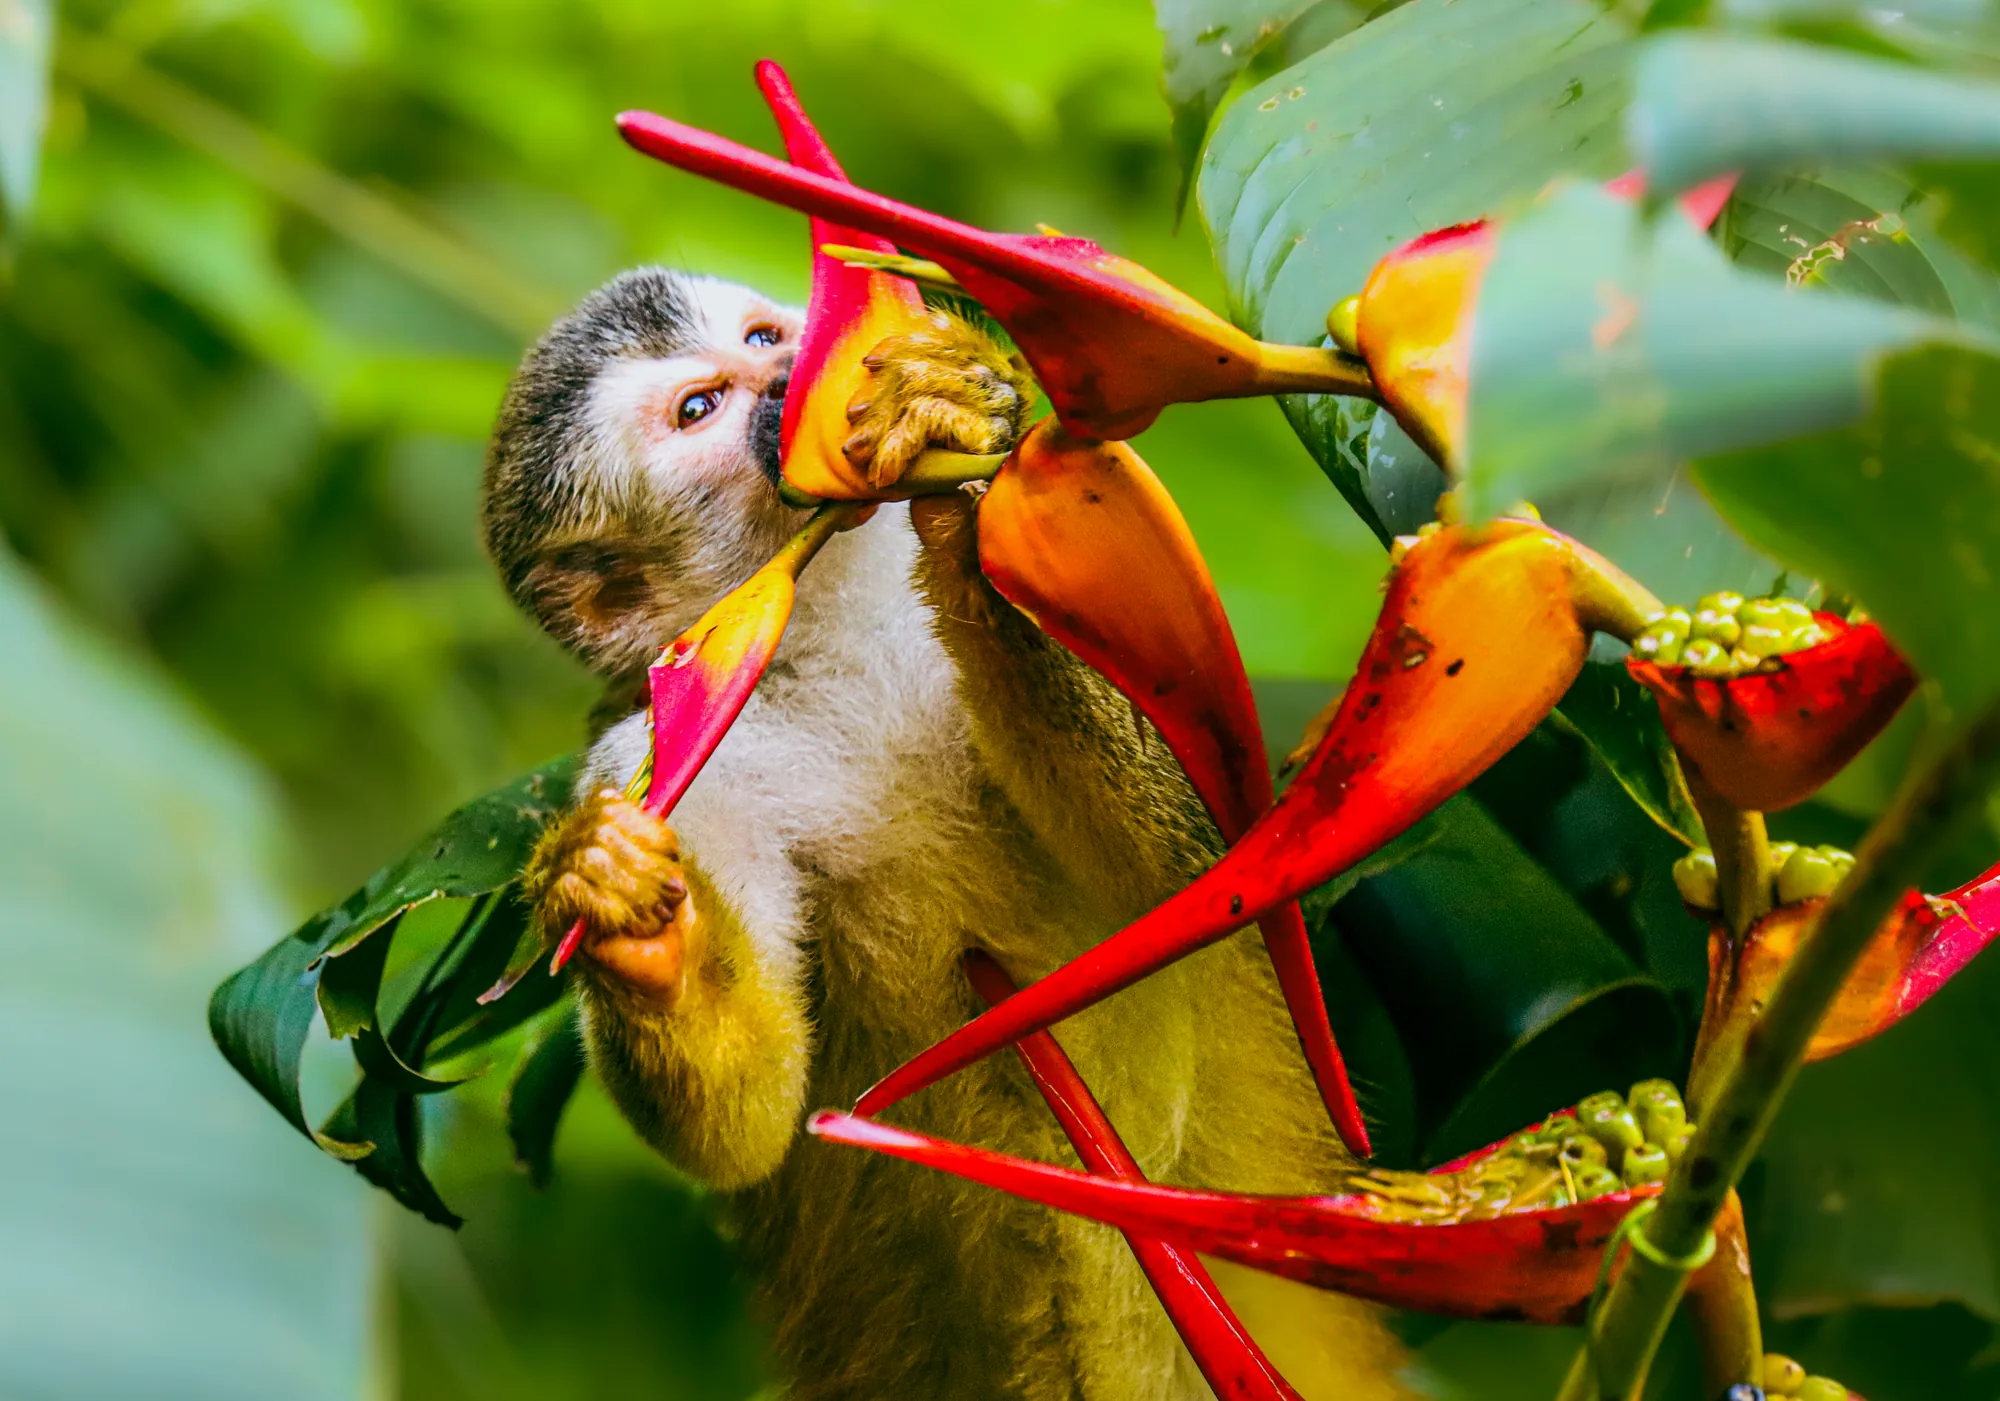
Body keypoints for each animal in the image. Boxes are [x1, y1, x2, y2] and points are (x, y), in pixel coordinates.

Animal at [483, 267, 1411, 1401]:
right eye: (699, 407)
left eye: (764, 339)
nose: (791, 379)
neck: (832, 636)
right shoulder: (656, 752)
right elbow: (746, 1122)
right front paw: (631, 928)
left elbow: (1188, 880)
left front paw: (956, 454)